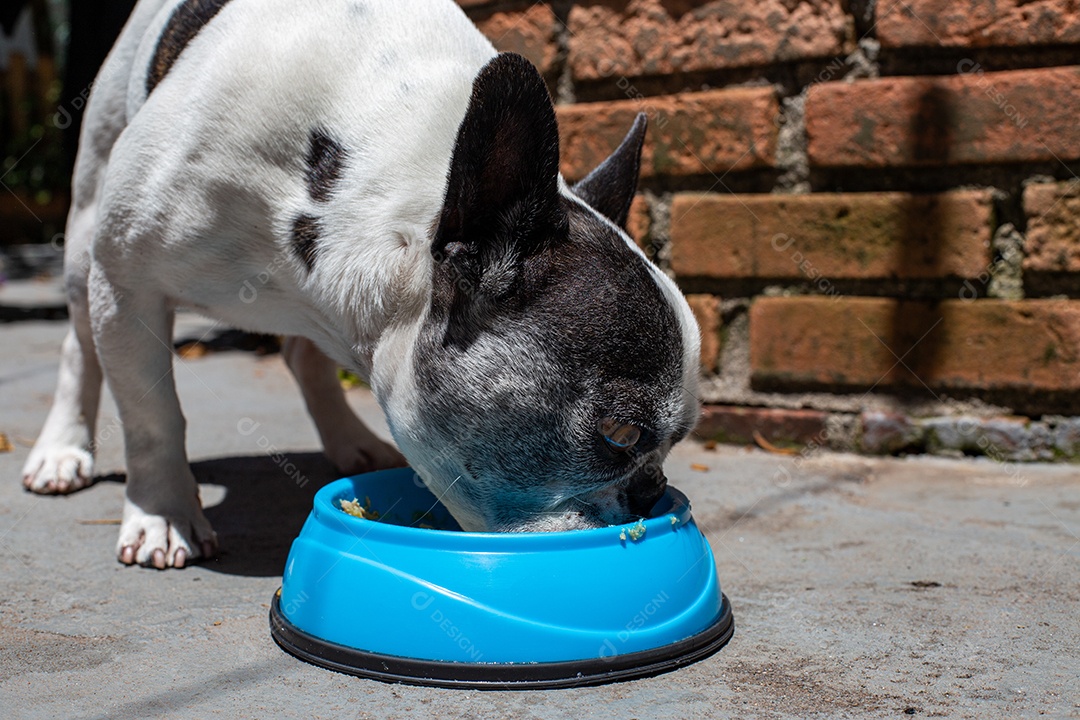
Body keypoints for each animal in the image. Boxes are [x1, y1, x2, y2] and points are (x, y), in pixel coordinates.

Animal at [21, 0, 699, 569]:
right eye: (621, 435)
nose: (652, 491)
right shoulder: (127, 279)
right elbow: (151, 413)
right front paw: (163, 515)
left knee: (304, 357)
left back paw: (352, 441)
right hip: (85, 232)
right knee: (78, 343)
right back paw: (62, 450)